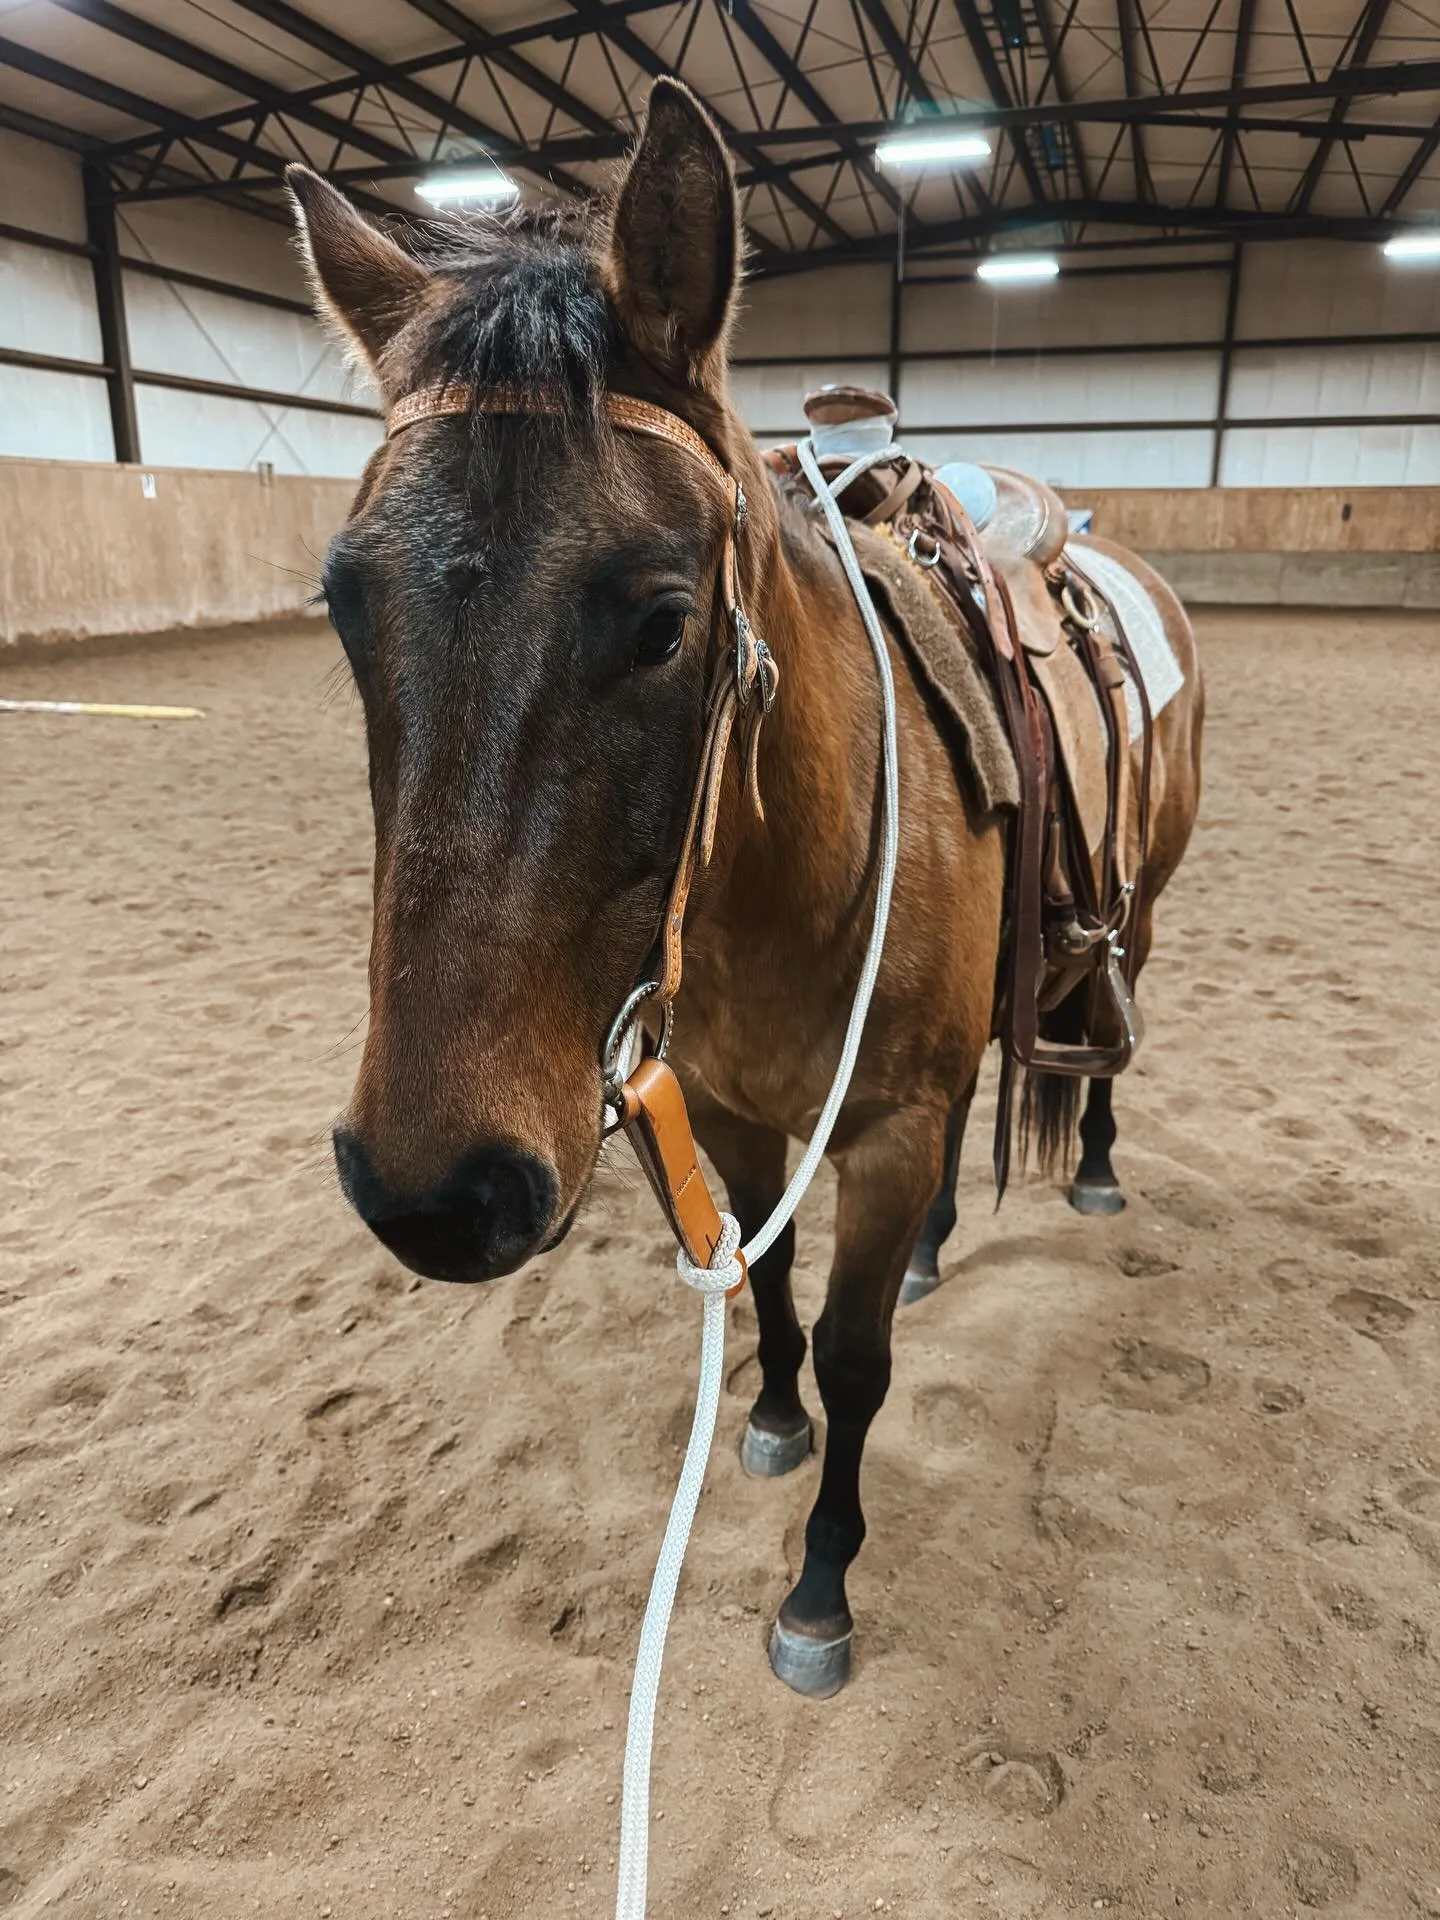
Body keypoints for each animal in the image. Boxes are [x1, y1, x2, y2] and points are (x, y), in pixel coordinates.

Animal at [287, 77, 1203, 1698]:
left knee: (1094, 1054)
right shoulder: (726, 1106)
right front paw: (770, 1417)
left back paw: (1089, 1169)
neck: (783, 889)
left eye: (664, 621)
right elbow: (769, 1293)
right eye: (342, 602)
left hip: (1136, 918)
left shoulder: (882, 1133)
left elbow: (855, 1354)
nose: (433, 1195)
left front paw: (820, 1586)